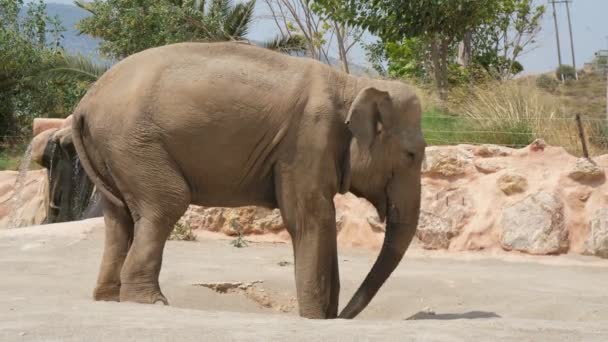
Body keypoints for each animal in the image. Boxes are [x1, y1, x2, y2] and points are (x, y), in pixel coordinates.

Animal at [71, 41, 426, 320]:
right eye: (411, 155)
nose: (343, 316)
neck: (352, 83)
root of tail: (85, 104)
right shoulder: (306, 142)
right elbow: (312, 219)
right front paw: (314, 318)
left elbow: (319, 221)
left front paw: (325, 315)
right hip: (134, 144)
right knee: (165, 203)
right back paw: (150, 302)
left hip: (115, 151)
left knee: (119, 217)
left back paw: (109, 297)